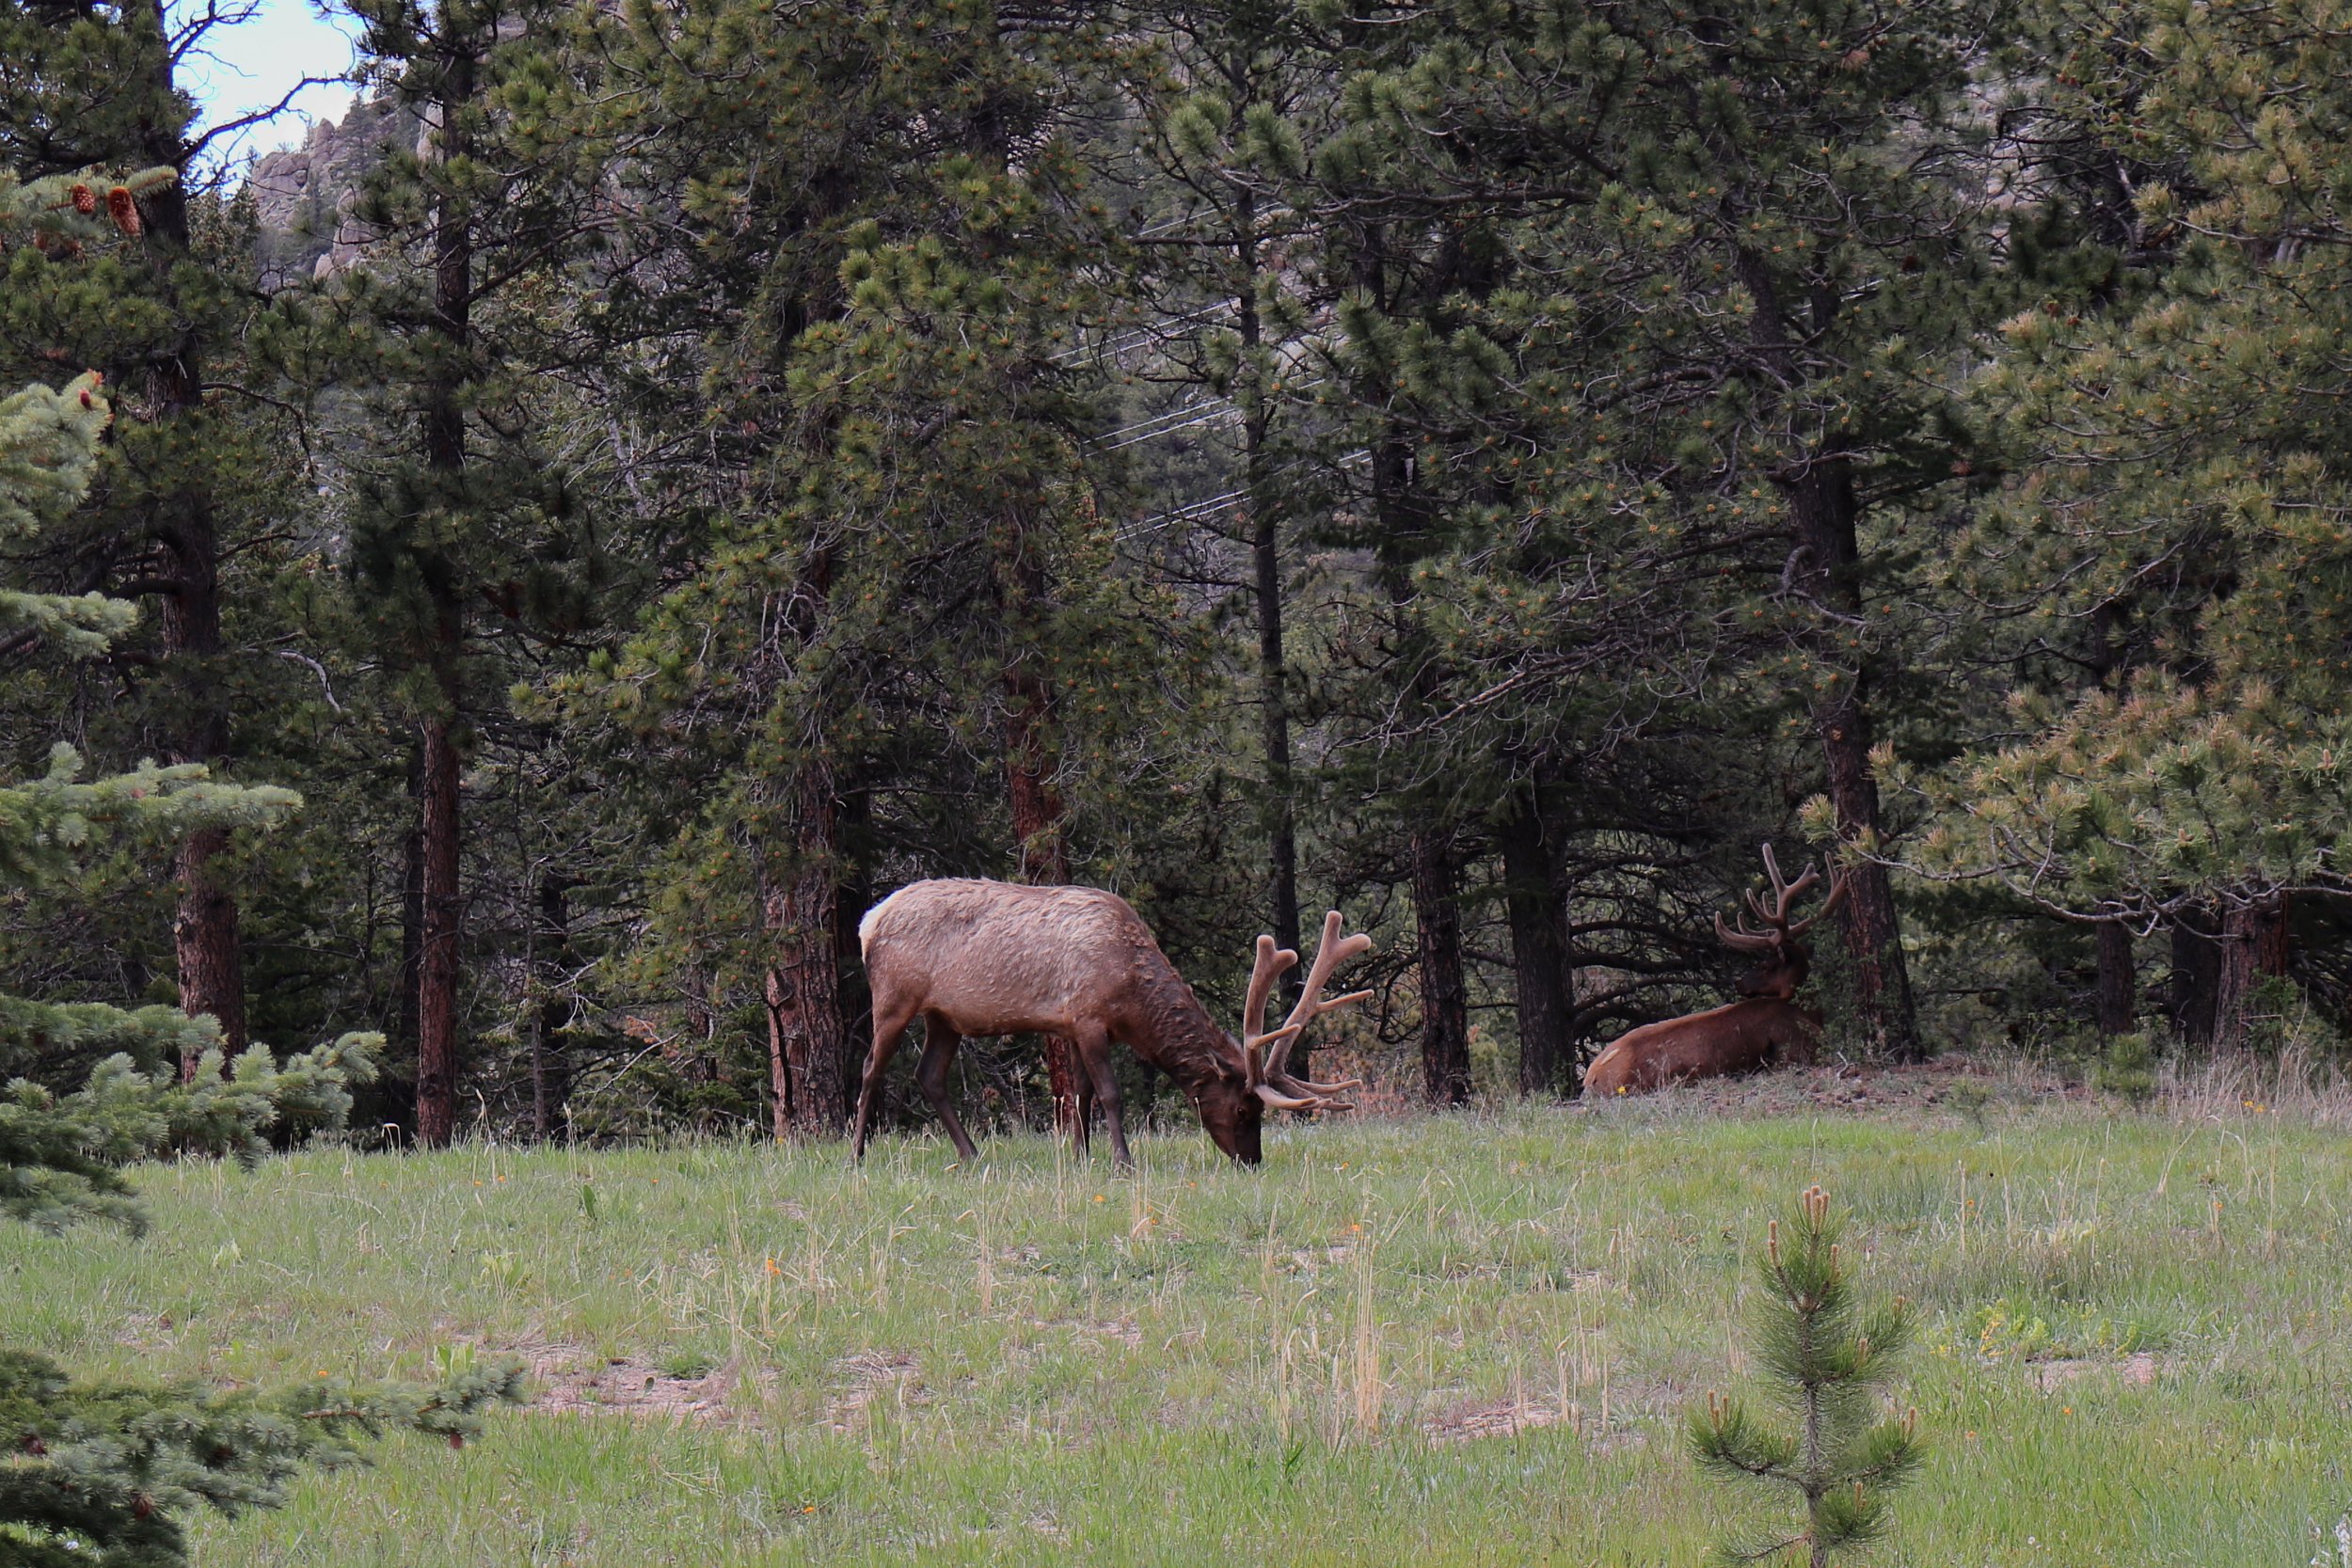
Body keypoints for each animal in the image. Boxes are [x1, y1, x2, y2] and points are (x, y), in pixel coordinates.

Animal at [851, 879, 1373, 1168]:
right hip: (894, 997)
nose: (1252, 1161)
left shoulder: (1070, 1024)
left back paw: (972, 1154)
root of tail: (868, 921)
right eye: (1245, 1110)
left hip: (945, 1017)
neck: (1131, 996)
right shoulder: (1088, 1017)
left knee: (929, 1076)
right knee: (871, 1068)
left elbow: (1079, 1095)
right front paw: (1123, 1162)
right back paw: (856, 1155)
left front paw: (1081, 1157)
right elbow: (1109, 1094)